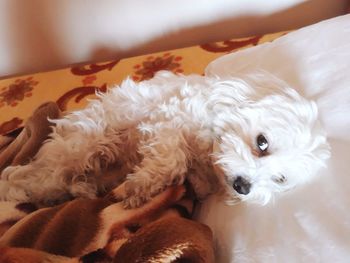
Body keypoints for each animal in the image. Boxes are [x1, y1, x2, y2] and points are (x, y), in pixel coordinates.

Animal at [0, 71, 330, 207]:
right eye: (262, 143)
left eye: (280, 179)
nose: (243, 186)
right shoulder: (168, 119)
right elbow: (171, 160)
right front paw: (138, 186)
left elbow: (193, 177)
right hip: (84, 142)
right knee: (32, 178)